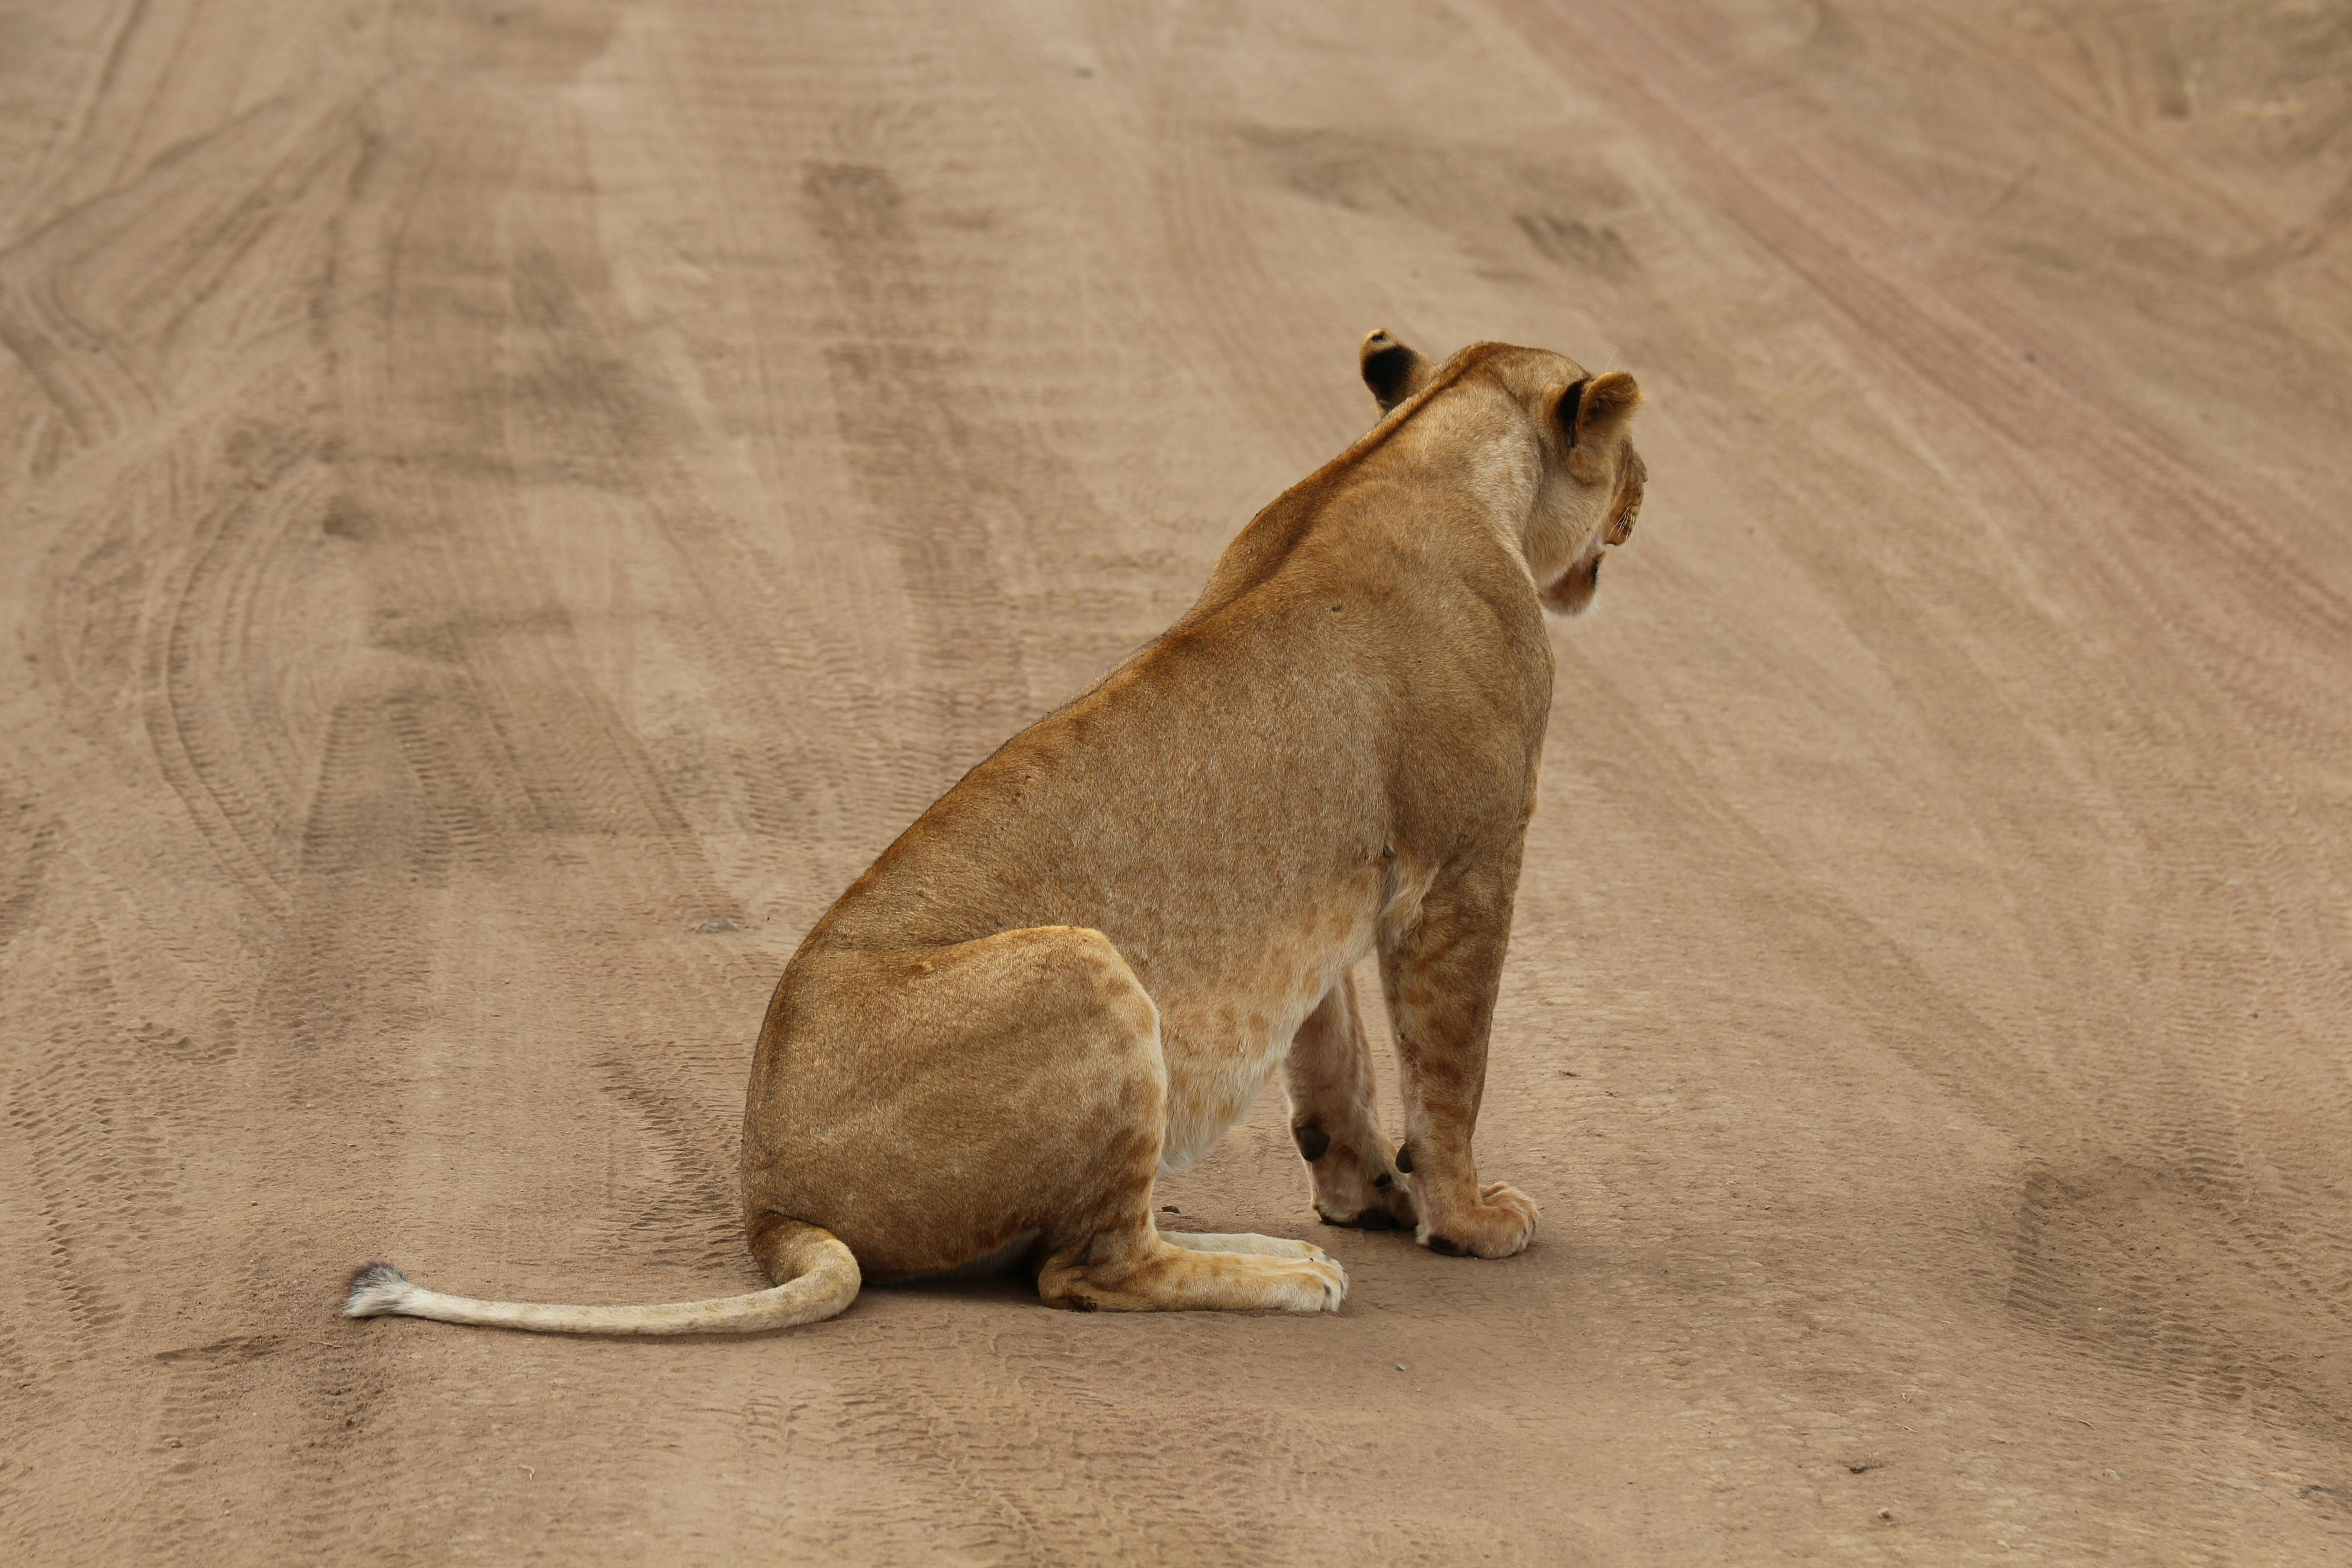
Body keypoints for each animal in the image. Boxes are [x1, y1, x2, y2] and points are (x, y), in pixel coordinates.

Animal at [343, 331, 1646, 1332]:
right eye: (1627, 452)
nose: (1643, 492)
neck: (1417, 450)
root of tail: (770, 1207)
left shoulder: (1338, 885)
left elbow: (1338, 1057)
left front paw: (1368, 1192)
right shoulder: (1471, 863)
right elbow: (1452, 1066)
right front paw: (1467, 1220)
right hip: (1080, 965)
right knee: (1086, 1269)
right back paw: (1287, 1276)